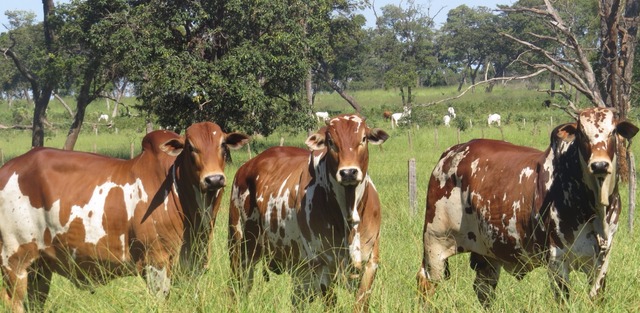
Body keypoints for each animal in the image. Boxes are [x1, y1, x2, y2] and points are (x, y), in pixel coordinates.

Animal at [0, 120, 250, 310]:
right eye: (191, 147)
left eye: (223, 145)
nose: (214, 179)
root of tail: (7, 168)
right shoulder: (156, 262)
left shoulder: (192, 266)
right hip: (14, 262)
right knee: (14, 302)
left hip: (40, 268)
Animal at [229, 113, 390, 310]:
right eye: (331, 141)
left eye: (364, 138)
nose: (348, 172)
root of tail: (247, 166)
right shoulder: (322, 266)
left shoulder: (370, 263)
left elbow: (360, 304)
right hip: (239, 248)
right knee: (238, 289)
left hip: (300, 272)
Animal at [418, 108, 636, 308]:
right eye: (582, 133)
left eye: (613, 131)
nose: (599, 165)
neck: (595, 209)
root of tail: (450, 153)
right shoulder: (557, 259)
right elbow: (563, 300)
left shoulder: (602, 261)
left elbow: (596, 298)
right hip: (435, 243)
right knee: (426, 282)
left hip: (487, 252)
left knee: (483, 289)